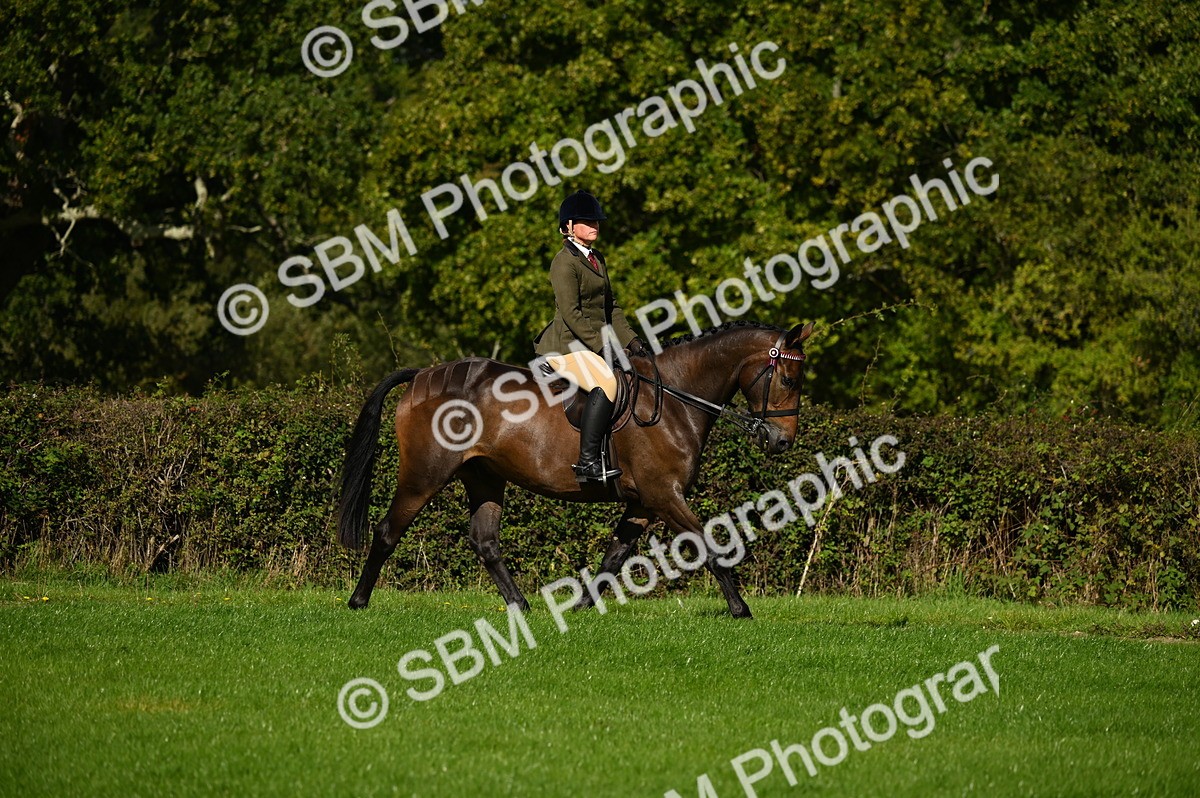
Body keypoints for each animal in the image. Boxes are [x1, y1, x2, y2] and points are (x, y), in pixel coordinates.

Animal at [336, 320, 814, 619]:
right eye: (789, 380)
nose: (782, 442)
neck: (676, 398)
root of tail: (422, 376)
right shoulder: (665, 495)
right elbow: (709, 545)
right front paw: (741, 610)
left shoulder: (644, 503)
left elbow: (613, 556)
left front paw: (580, 608)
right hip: (425, 474)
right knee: (388, 531)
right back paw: (358, 601)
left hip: (484, 476)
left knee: (485, 542)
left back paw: (522, 606)